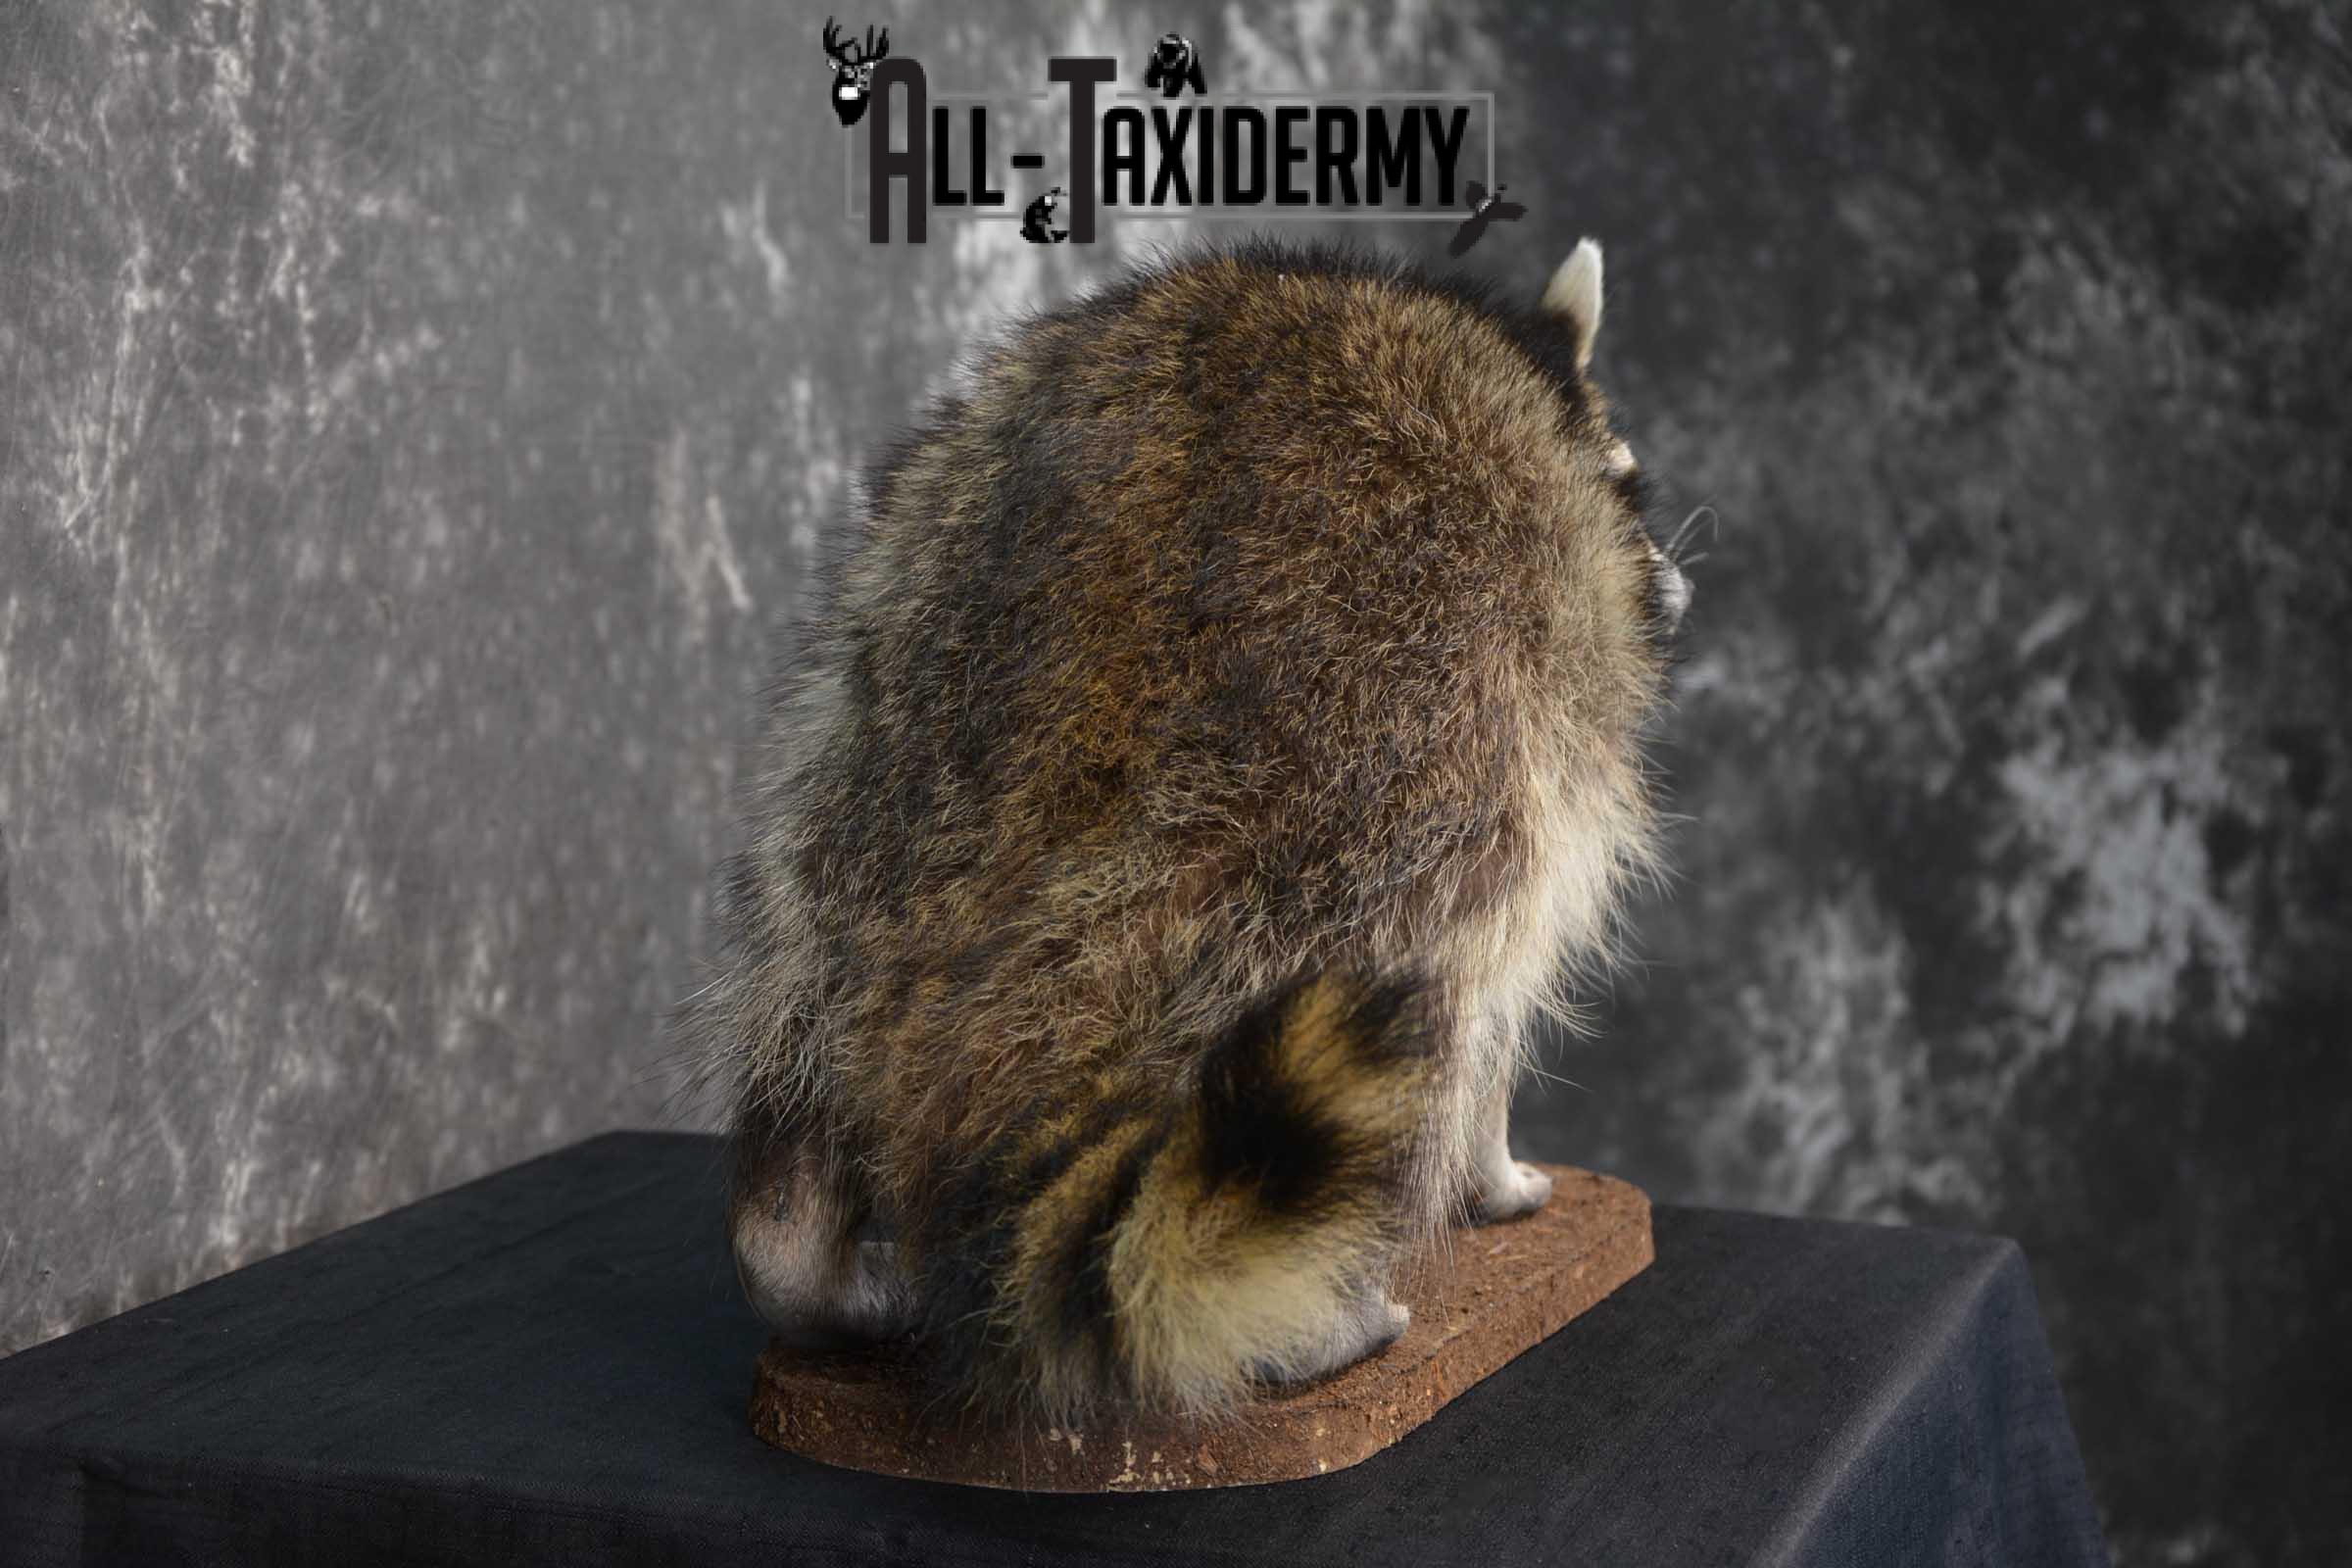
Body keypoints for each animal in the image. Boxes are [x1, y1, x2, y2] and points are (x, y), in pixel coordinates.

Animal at [682, 238, 1687, 1421]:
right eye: (1628, 484)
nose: (1672, 588)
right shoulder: (1547, 705)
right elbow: (1499, 1003)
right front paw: (1496, 1173)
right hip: (1393, 758)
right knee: (1441, 976)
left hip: (859, 717)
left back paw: (798, 1251)